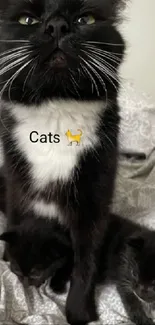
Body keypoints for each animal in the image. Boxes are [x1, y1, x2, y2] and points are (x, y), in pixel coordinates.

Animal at [0, 0, 124, 322]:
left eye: (86, 19)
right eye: (27, 20)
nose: (57, 26)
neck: (56, 106)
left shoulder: (96, 190)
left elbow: (87, 255)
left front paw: (79, 311)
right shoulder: (16, 179)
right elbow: (16, 217)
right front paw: (11, 260)